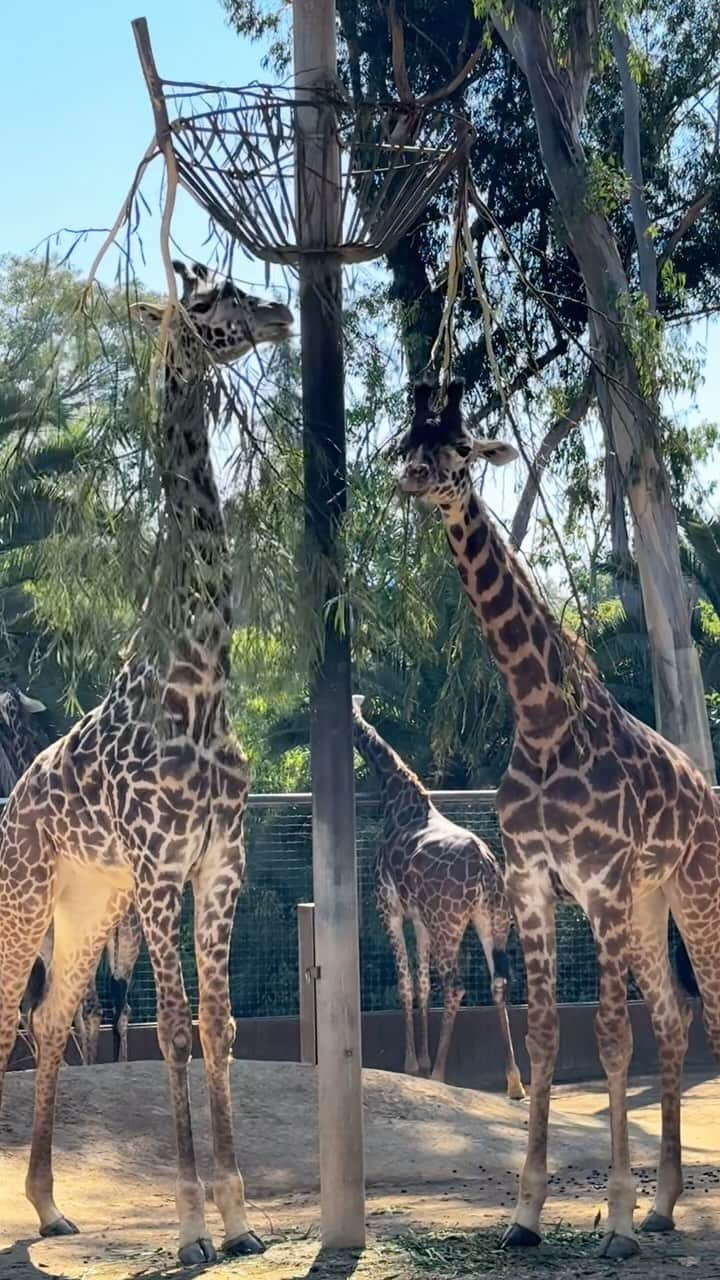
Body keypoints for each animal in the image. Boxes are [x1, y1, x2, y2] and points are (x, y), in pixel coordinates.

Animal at [348, 696, 520, 1095]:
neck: (398, 798)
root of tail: (487, 868)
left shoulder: (390, 909)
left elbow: (405, 983)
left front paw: (414, 1065)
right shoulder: (419, 919)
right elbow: (423, 985)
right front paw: (422, 1062)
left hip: (449, 924)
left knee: (455, 987)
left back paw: (443, 1074)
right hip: (493, 921)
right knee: (498, 982)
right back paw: (515, 1081)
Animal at [392, 378, 717, 1259]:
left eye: (461, 447)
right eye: (409, 439)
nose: (415, 479)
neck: (539, 716)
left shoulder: (597, 884)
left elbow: (607, 1039)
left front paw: (618, 1225)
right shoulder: (536, 886)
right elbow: (545, 1040)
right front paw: (528, 1214)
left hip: (693, 894)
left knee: (702, 1010)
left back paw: (655, 1211)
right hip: (648, 904)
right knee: (673, 1018)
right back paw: (668, 1205)